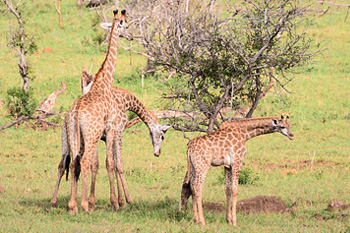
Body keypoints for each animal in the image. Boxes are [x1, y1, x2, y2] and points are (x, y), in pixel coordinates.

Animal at [63, 9, 133, 214]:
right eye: (126, 25)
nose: (131, 37)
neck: (105, 81)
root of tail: (76, 113)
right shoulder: (110, 128)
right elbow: (110, 163)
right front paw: (115, 203)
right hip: (91, 135)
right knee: (84, 161)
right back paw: (84, 205)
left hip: (74, 134)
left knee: (74, 162)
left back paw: (73, 206)